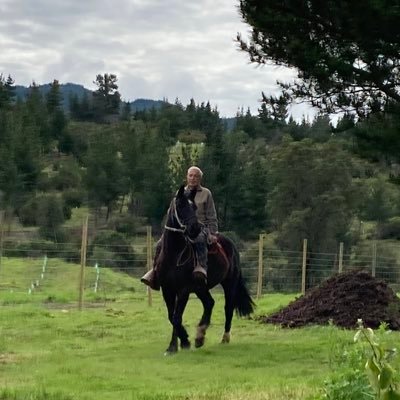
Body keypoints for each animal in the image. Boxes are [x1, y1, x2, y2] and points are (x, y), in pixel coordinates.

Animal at [155, 184, 255, 354]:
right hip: (201, 287)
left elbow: (176, 317)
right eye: (181, 205)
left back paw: (223, 338)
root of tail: (230, 244)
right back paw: (199, 336)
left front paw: (176, 345)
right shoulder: (167, 289)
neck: (174, 255)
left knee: (228, 308)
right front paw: (182, 343)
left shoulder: (183, 290)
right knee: (209, 303)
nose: (195, 228)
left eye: (194, 207)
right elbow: (171, 316)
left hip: (229, 283)